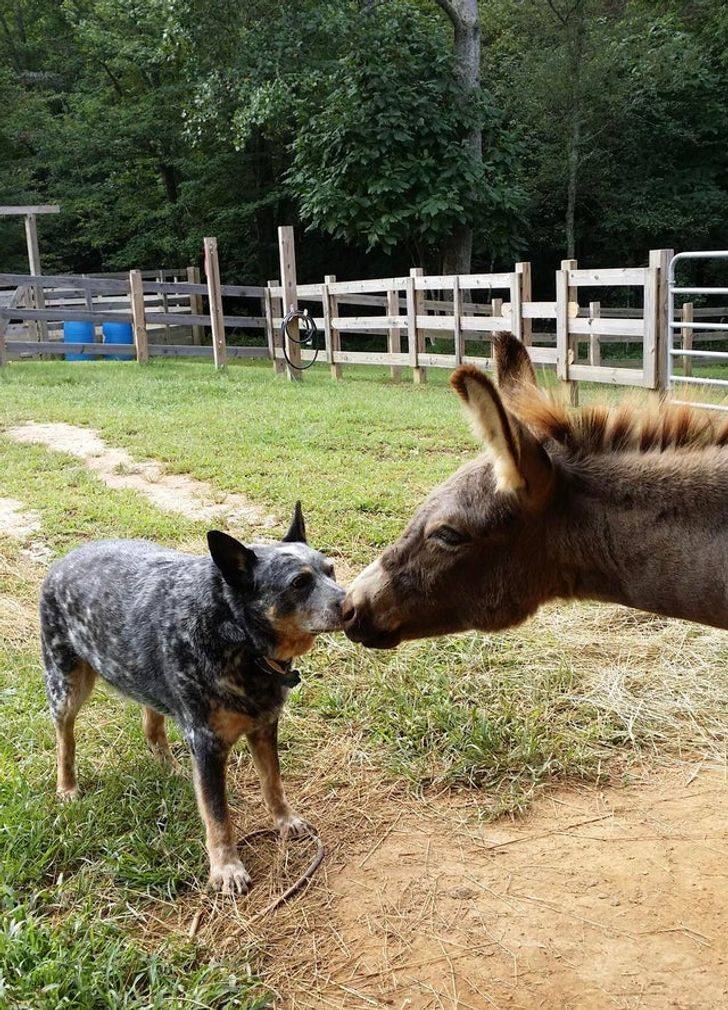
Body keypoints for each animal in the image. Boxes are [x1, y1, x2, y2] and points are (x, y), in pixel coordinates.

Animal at [38, 502, 345, 892]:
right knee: (66, 739)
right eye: (299, 583)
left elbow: (272, 782)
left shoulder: (263, 726)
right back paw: (67, 786)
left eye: (330, 570)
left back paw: (170, 767)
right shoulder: (207, 743)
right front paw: (226, 867)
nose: (350, 603)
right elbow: (218, 815)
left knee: (151, 725)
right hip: (66, 685)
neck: (235, 635)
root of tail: (64, 559)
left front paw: (285, 820)